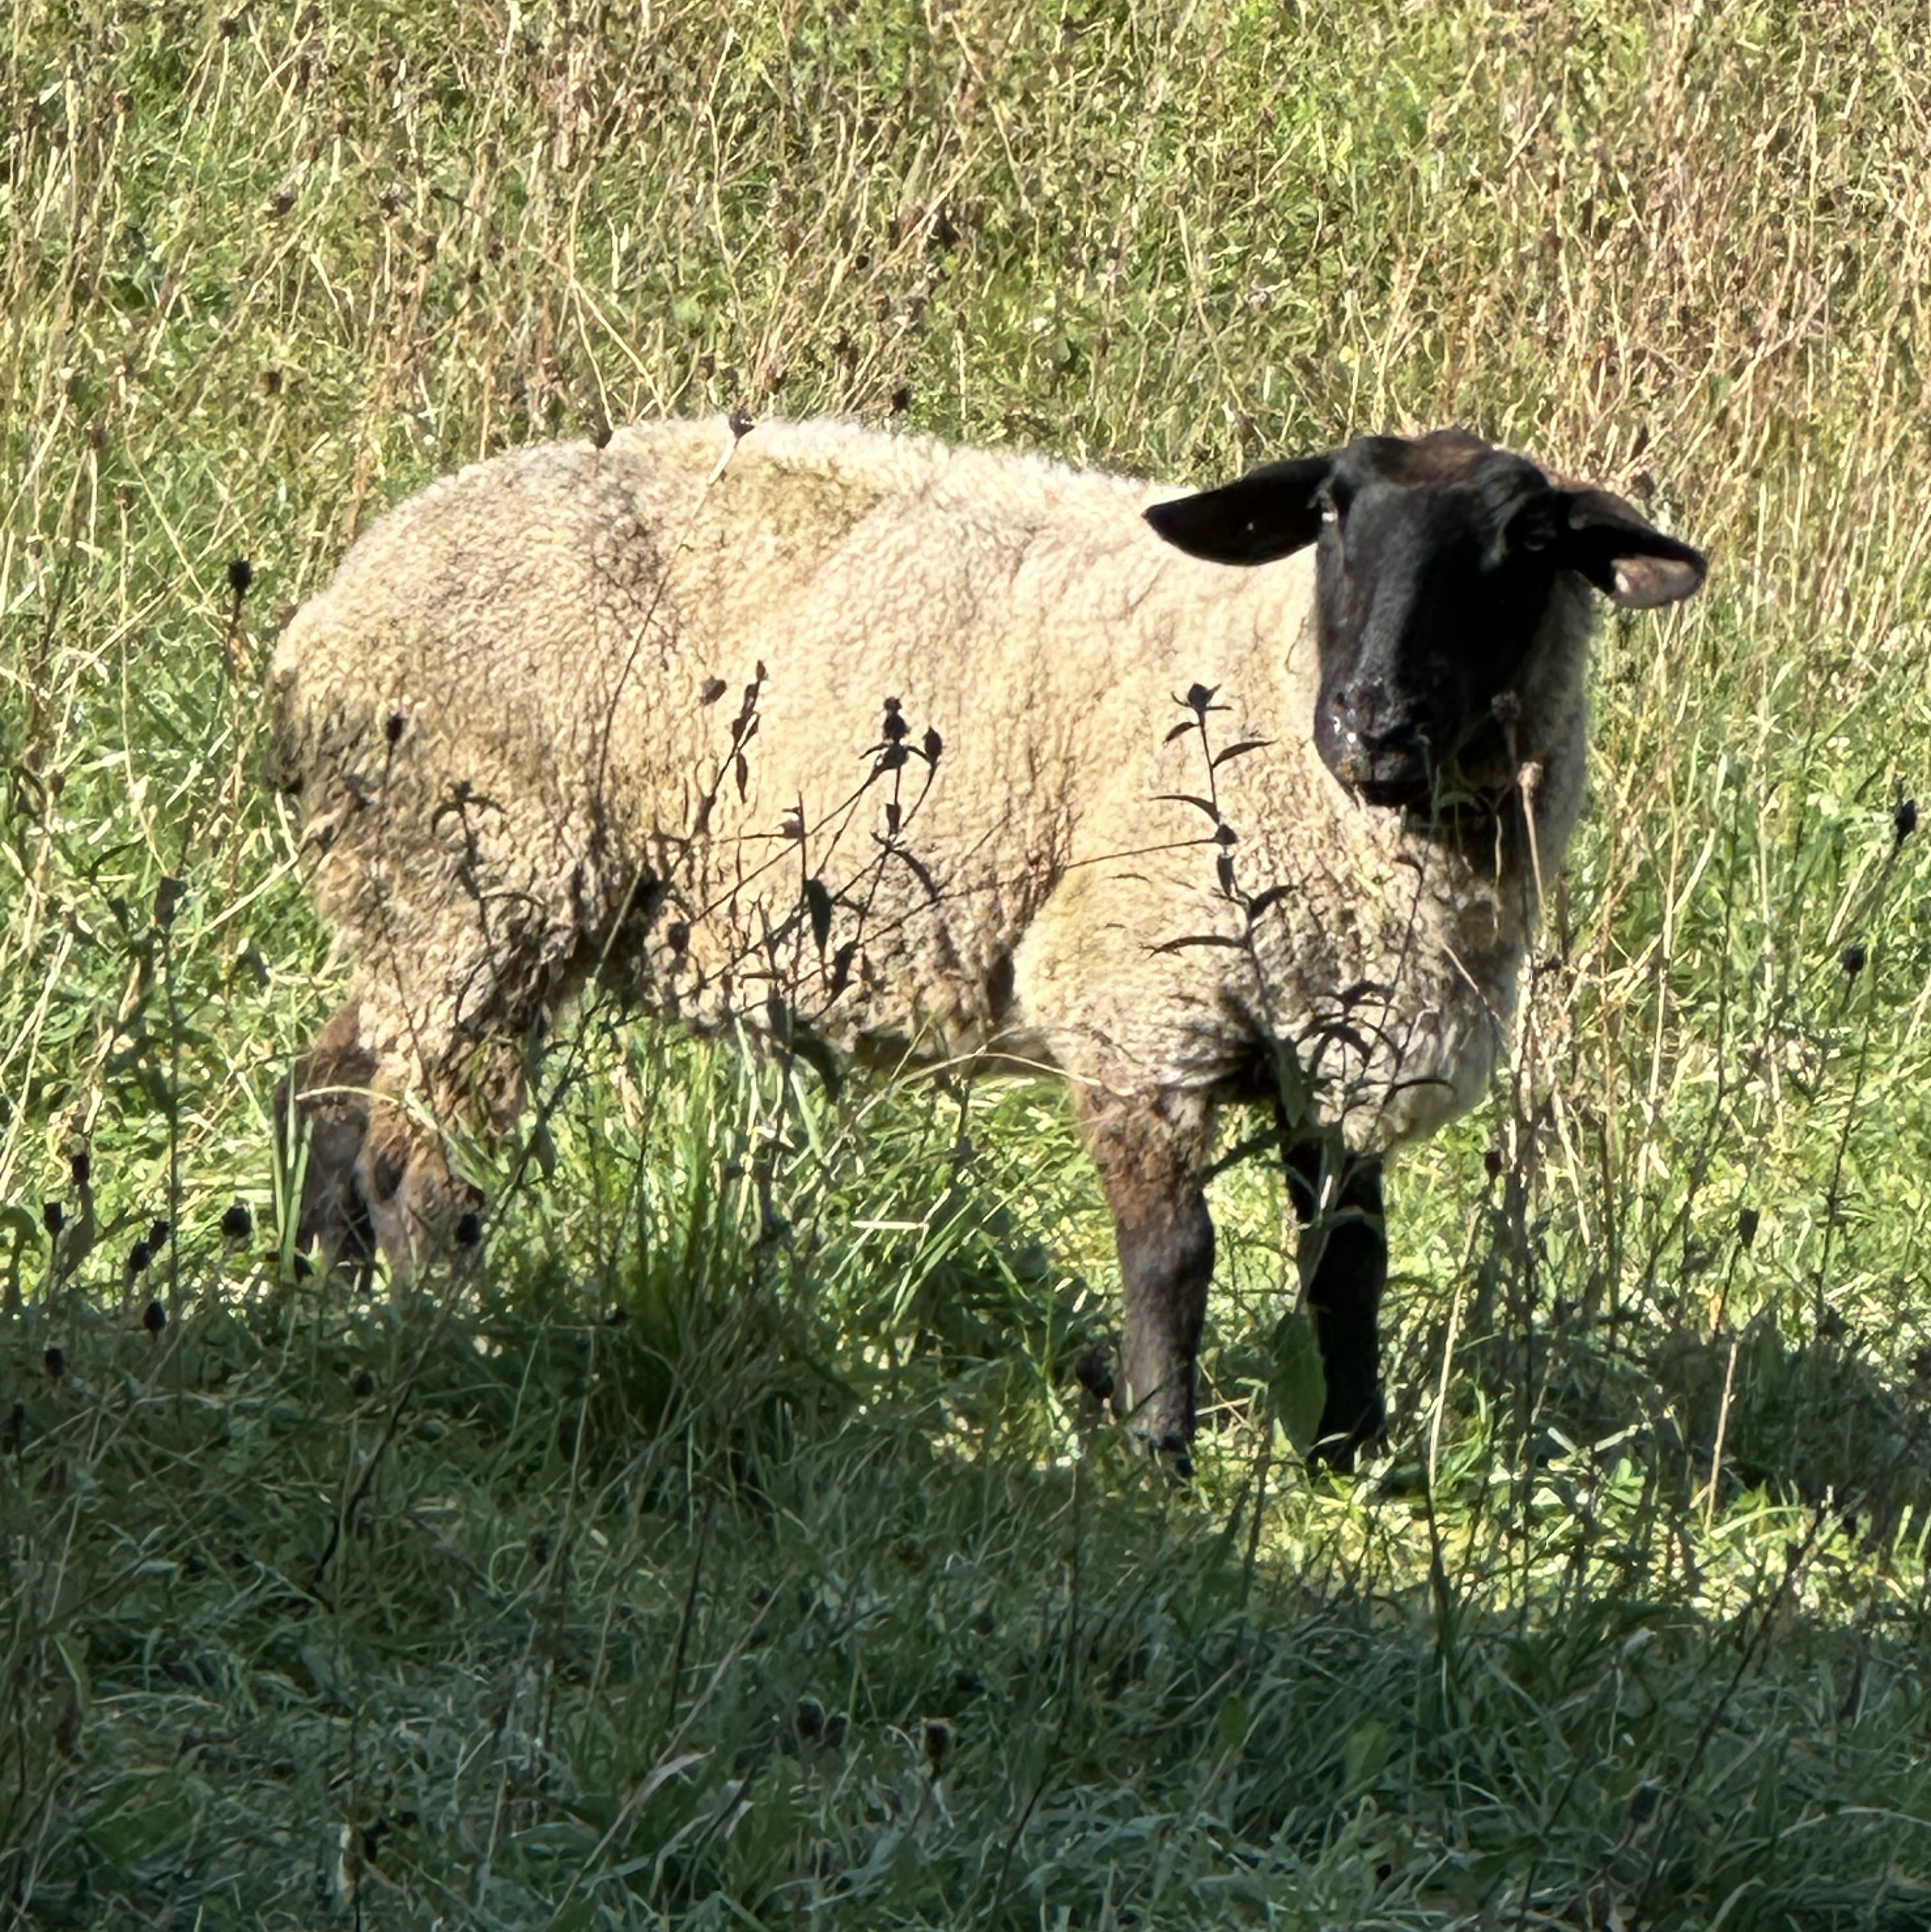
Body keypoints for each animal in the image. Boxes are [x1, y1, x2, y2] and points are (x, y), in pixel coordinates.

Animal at [270, 415, 1705, 1472]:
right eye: (1329, 514)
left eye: (1529, 540)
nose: (1373, 721)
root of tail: (326, 616)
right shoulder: (1140, 994)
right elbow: (1175, 1252)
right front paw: (1159, 1454)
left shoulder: (1326, 1033)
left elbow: (1348, 1266)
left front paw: (1355, 1459)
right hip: (482, 888)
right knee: (420, 1165)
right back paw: (447, 1334)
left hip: (422, 908)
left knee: (330, 1086)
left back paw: (321, 1296)